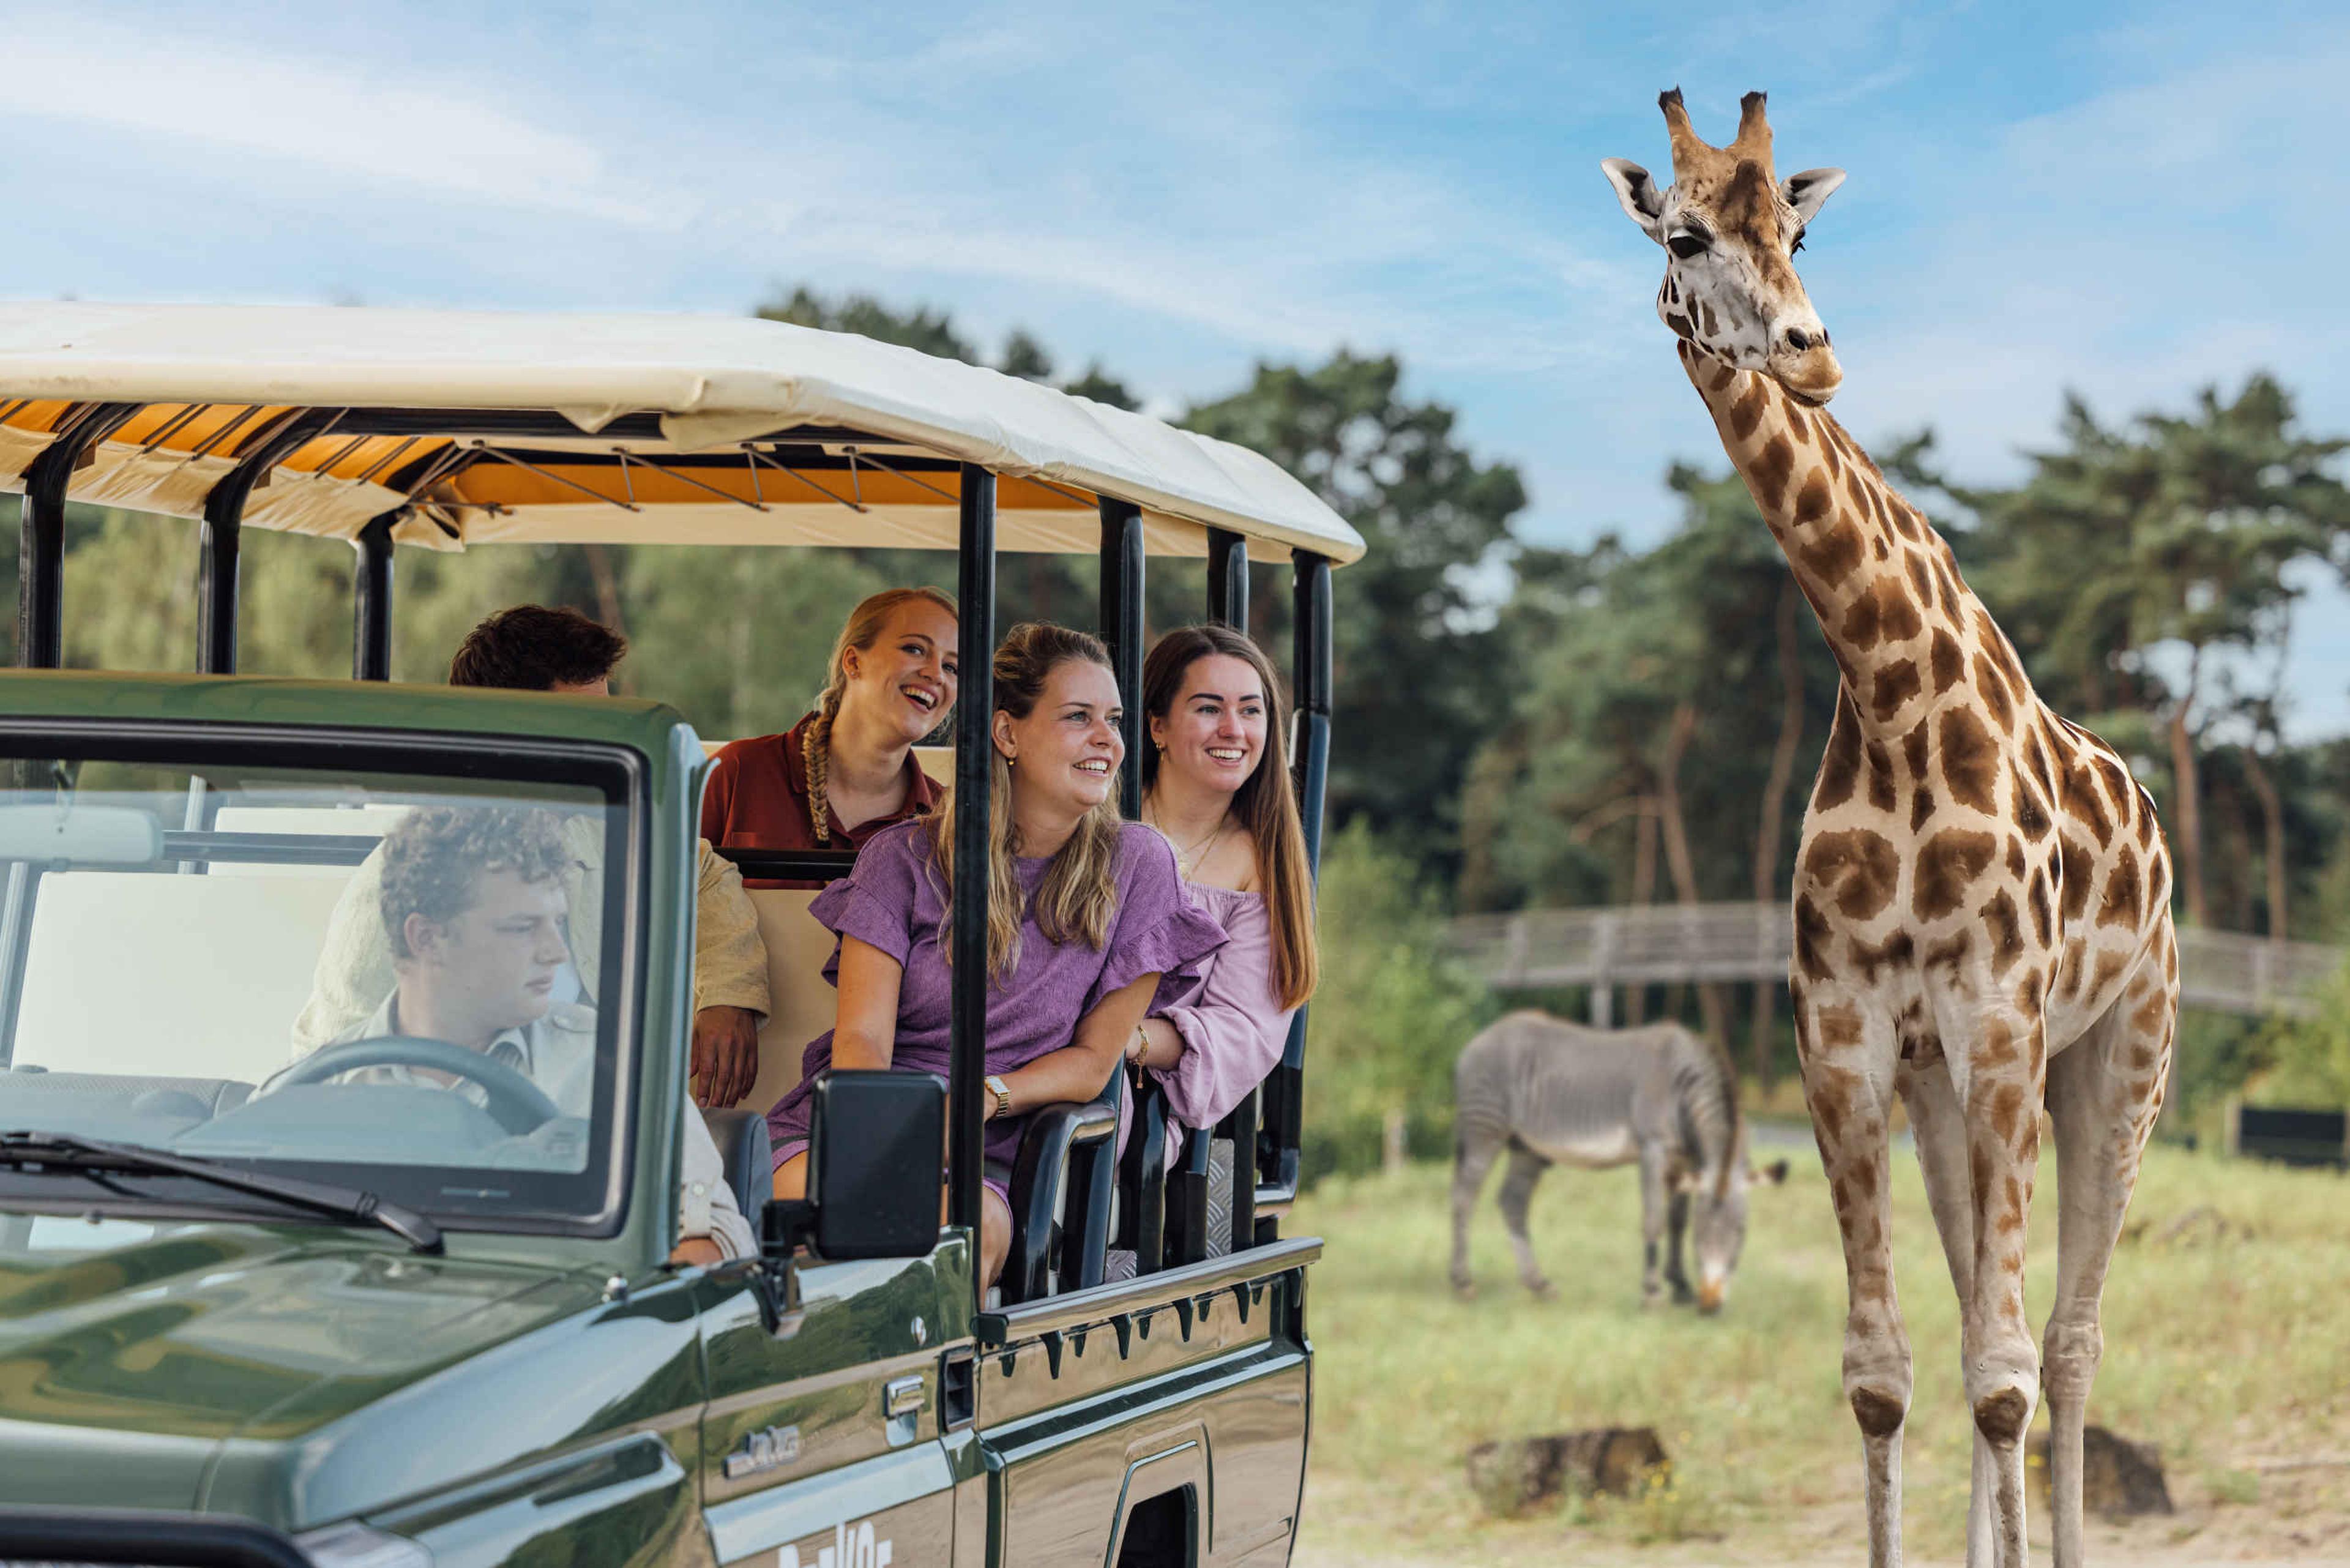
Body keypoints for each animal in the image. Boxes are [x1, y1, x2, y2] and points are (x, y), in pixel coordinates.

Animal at [1600, 91, 2179, 1568]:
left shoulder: (2006, 1024)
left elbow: (2007, 1374)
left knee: (2070, 1343)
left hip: (2123, 1055)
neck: (1890, 692)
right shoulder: (1850, 1039)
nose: (1816, 354)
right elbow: (1887, 1373)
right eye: (1684, 233)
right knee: (1991, 1306)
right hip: (1945, 1091)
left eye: (1798, 229)